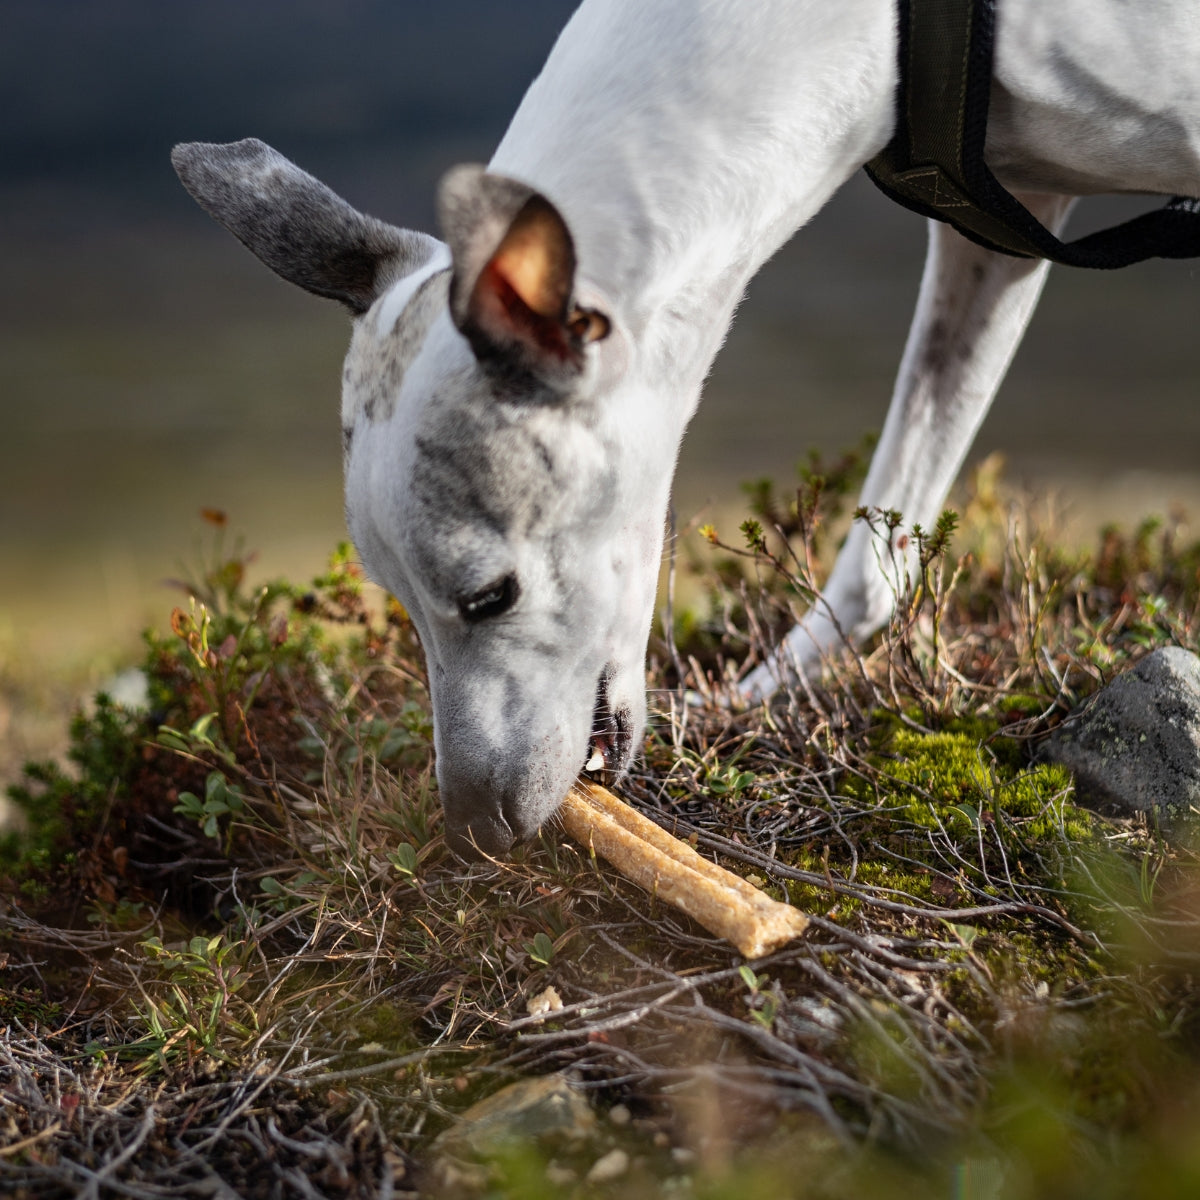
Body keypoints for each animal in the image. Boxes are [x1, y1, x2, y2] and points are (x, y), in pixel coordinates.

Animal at [174, 4, 1195, 859]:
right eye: (397, 599)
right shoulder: (1001, 225)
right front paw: (768, 694)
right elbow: (879, 552)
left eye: (490, 597)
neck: (865, 30)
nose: (471, 829)